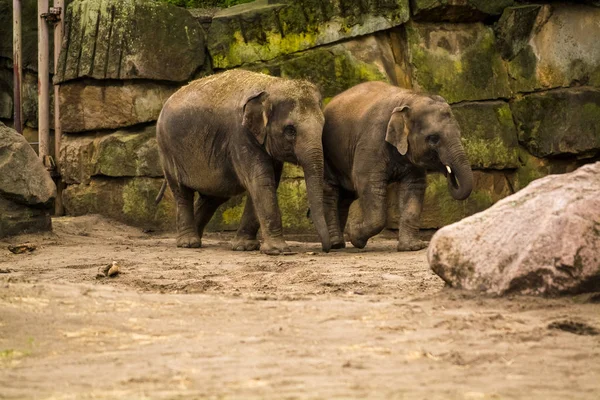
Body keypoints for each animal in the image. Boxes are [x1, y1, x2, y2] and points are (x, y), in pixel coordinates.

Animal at [155, 70, 330, 255]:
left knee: (212, 197)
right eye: (290, 131)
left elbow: (266, 183)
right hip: (168, 149)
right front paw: (278, 250)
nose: (325, 249)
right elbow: (261, 182)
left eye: (323, 125)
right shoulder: (240, 135)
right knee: (182, 192)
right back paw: (188, 243)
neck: (272, 85)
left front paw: (244, 247)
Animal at [324, 80, 474, 250]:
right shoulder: (372, 141)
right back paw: (336, 244)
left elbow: (414, 187)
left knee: (346, 195)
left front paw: (412, 247)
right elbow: (368, 183)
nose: (449, 174)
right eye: (434, 138)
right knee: (331, 191)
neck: (408, 98)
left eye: (460, 133)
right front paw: (355, 236)